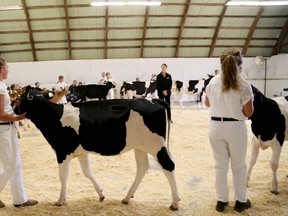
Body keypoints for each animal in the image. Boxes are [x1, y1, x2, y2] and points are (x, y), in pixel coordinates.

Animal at [15, 86, 180, 211]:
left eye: (19, 99)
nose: (14, 109)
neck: (54, 116)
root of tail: (153, 100)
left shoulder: (62, 151)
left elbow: (63, 176)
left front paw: (60, 200)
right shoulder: (80, 152)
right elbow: (87, 172)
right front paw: (100, 194)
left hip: (156, 145)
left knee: (168, 165)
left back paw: (175, 203)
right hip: (140, 146)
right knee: (142, 167)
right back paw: (127, 197)